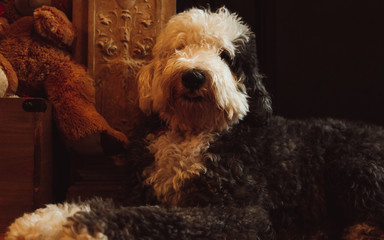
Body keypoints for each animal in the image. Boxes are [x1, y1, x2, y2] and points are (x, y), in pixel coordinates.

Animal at [4, 6, 384, 240]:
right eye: (179, 48)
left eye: (226, 56)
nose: (194, 76)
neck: (190, 133)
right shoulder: (138, 189)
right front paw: (49, 216)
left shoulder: (242, 213)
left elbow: (165, 218)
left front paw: (55, 224)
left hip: (354, 163)